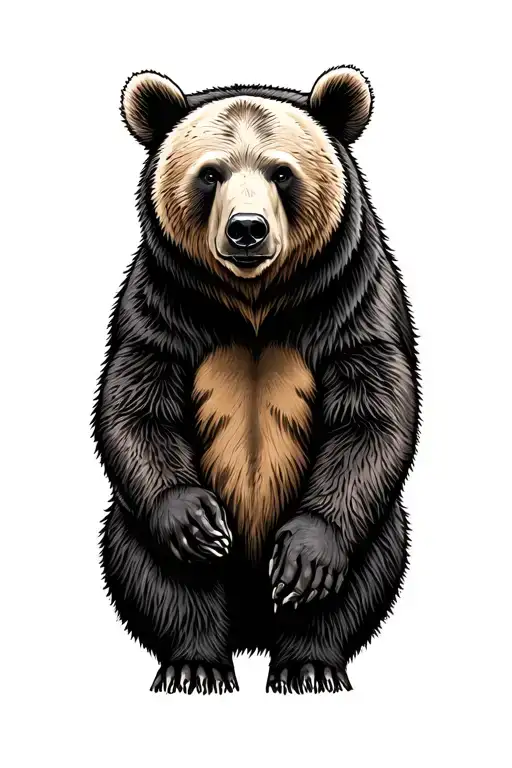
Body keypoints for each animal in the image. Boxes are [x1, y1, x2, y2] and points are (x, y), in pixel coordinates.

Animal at [94, 66, 419, 695]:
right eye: (210, 173)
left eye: (281, 171)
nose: (248, 229)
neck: (254, 305)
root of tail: (250, 631)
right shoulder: (164, 305)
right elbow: (136, 404)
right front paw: (194, 523)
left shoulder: (351, 300)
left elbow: (371, 411)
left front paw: (307, 559)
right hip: (130, 523)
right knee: (150, 566)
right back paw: (196, 661)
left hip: (380, 525)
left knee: (370, 564)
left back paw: (309, 663)